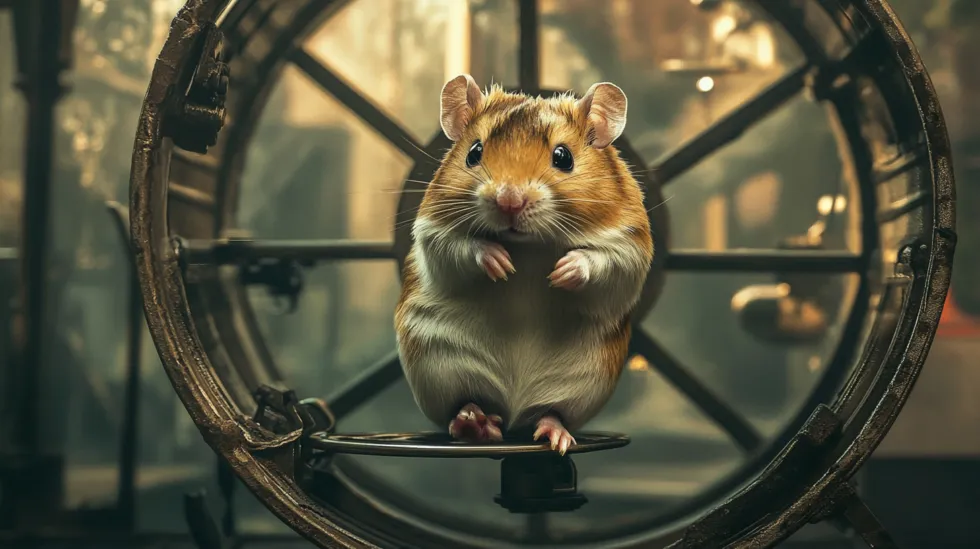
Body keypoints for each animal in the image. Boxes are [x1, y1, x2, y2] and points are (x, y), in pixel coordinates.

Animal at [394, 74, 653, 454]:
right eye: (474, 153)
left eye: (563, 157)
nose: (508, 200)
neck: (529, 244)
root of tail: (513, 411)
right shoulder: (433, 230)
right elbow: (458, 246)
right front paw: (501, 264)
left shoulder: (630, 242)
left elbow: (605, 259)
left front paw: (561, 272)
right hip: (437, 368)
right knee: (461, 406)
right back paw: (474, 422)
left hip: (584, 386)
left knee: (552, 413)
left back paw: (556, 436)